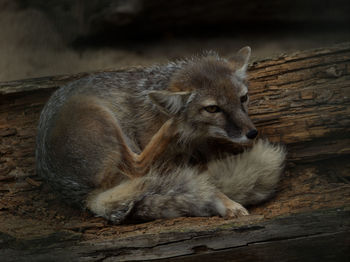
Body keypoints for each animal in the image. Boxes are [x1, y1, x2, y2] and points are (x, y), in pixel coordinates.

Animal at [35, 47, 286, 223]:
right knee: (138, 166)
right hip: (102, 117)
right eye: (213, 108)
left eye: (243, 98)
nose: (252, 133)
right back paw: (173, 125)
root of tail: (81, 197)